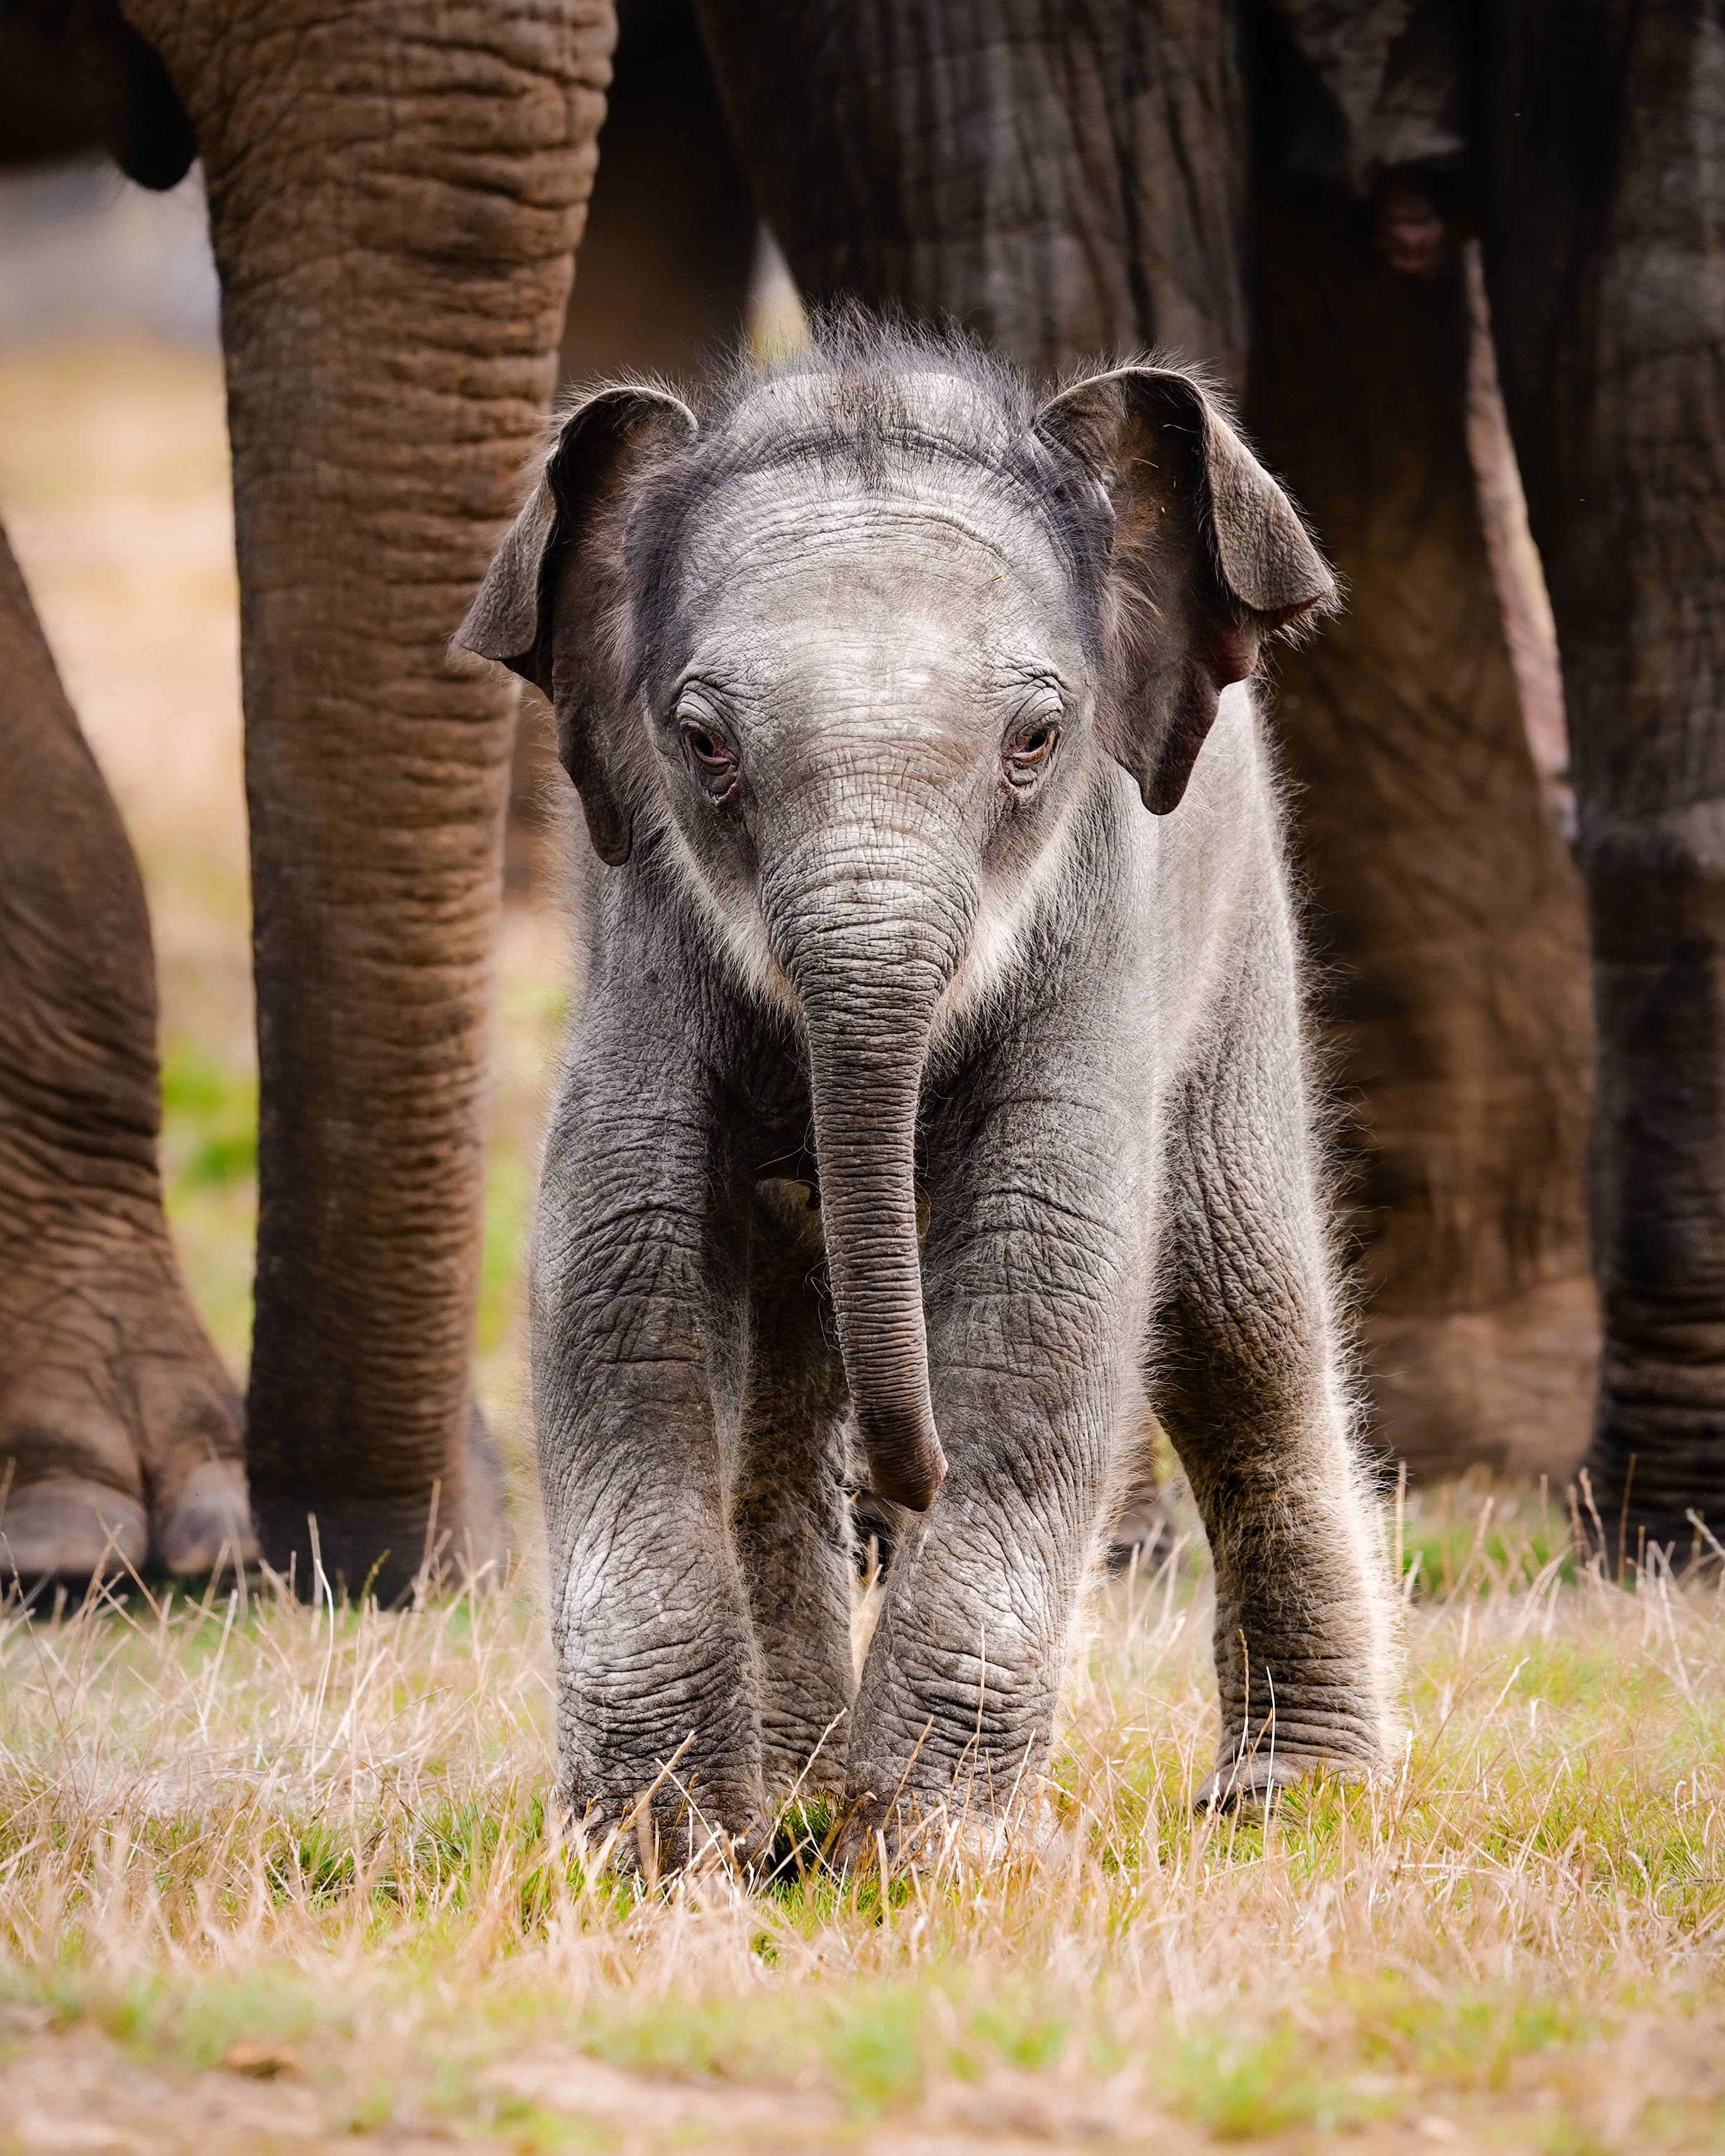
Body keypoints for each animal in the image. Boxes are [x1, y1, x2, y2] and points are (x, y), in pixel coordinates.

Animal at [461, 323, 1397, 1871]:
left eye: (1035, 740)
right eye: (701, 744)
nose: (906, 1481)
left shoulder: (1097, 920)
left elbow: (1044, 1279)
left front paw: (914, 1857)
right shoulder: (636, 924)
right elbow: (617, 1268)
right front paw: (665, 1861)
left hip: (1243, 928)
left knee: (1237, 1317)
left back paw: (1294, 1804)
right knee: (781, 1376)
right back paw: (787, 1794)